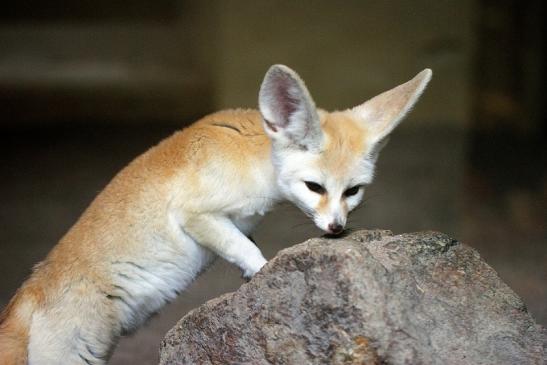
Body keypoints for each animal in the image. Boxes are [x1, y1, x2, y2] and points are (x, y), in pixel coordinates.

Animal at [0, 64, 432, 362]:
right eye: (315, 187)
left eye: (353, 192)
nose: (337, 228)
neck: (254, 157)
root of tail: (31, 289)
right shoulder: (195, 214)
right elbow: (246, 249)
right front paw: (263, 272)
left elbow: (243, 242)